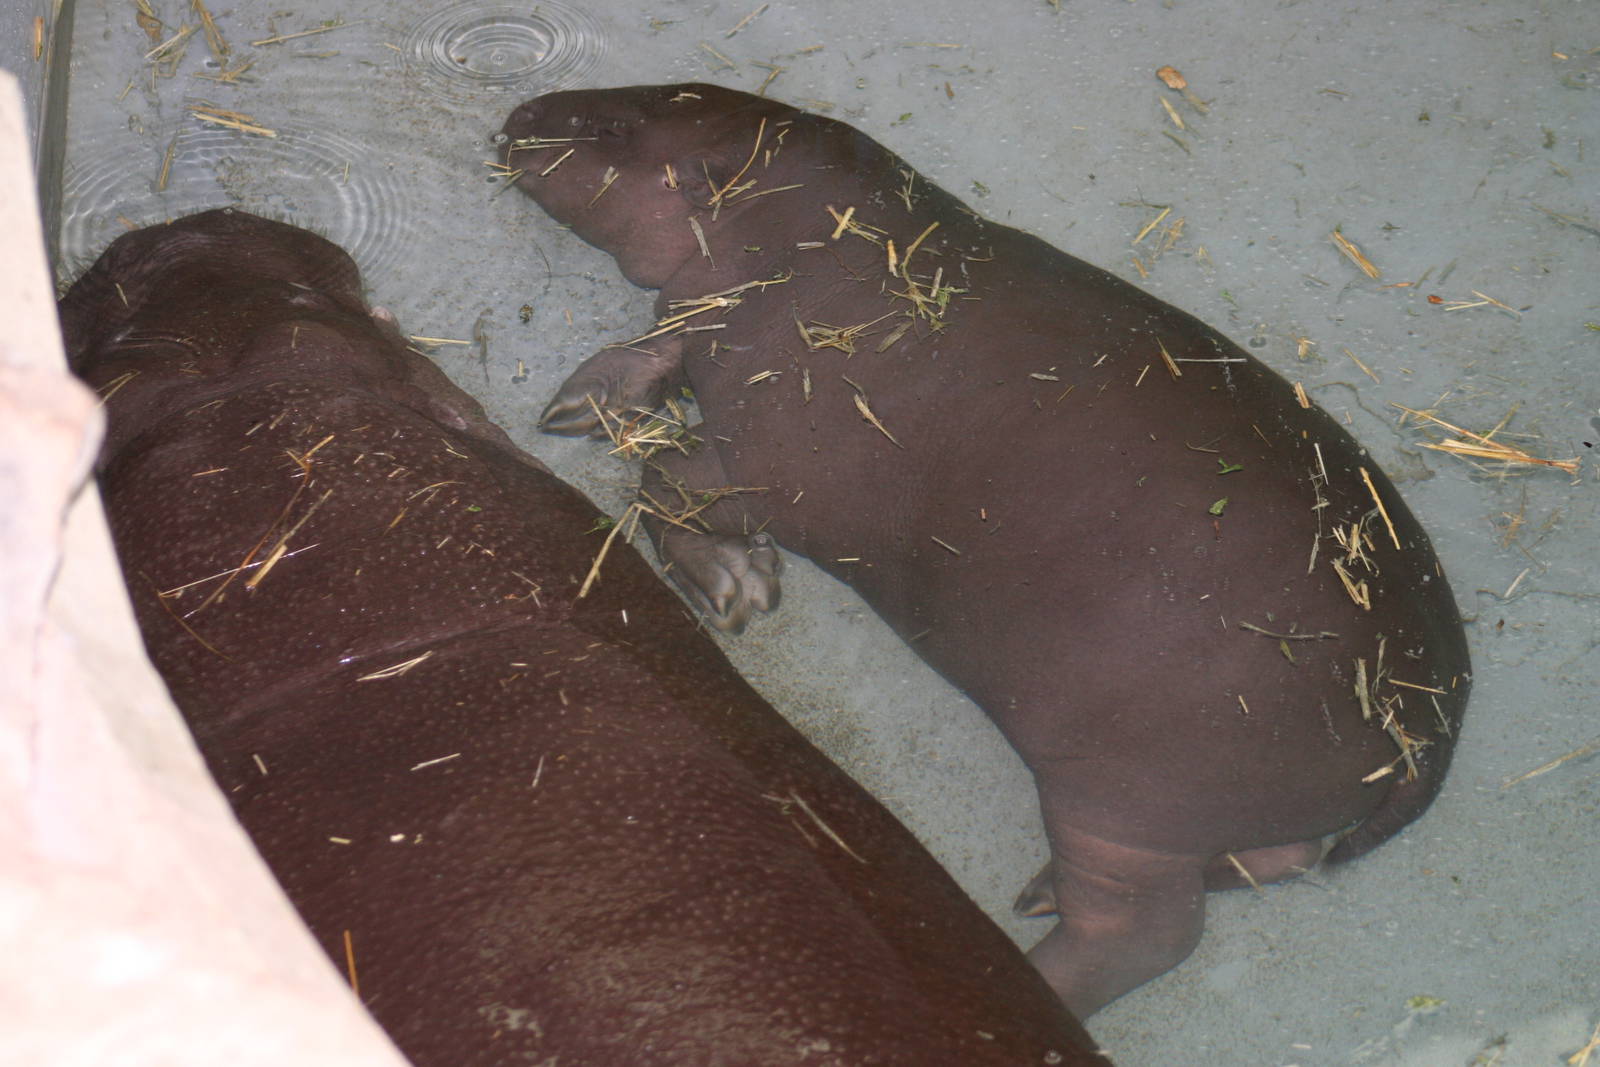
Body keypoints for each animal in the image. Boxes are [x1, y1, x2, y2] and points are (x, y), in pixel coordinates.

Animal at [500, 83, 1472, 1016]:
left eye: (616, 129)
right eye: (662, 90)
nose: (520, 112)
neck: (792, 217)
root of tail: (1430, 717)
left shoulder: (765, 463)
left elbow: (664, 478)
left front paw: (738, 586)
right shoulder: (701, 330)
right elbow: (652, 354)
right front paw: (578, 405)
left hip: (1122, 804)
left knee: (1147, 935)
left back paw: (1033, 976)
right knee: (1284, 858)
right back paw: (1039, 894)